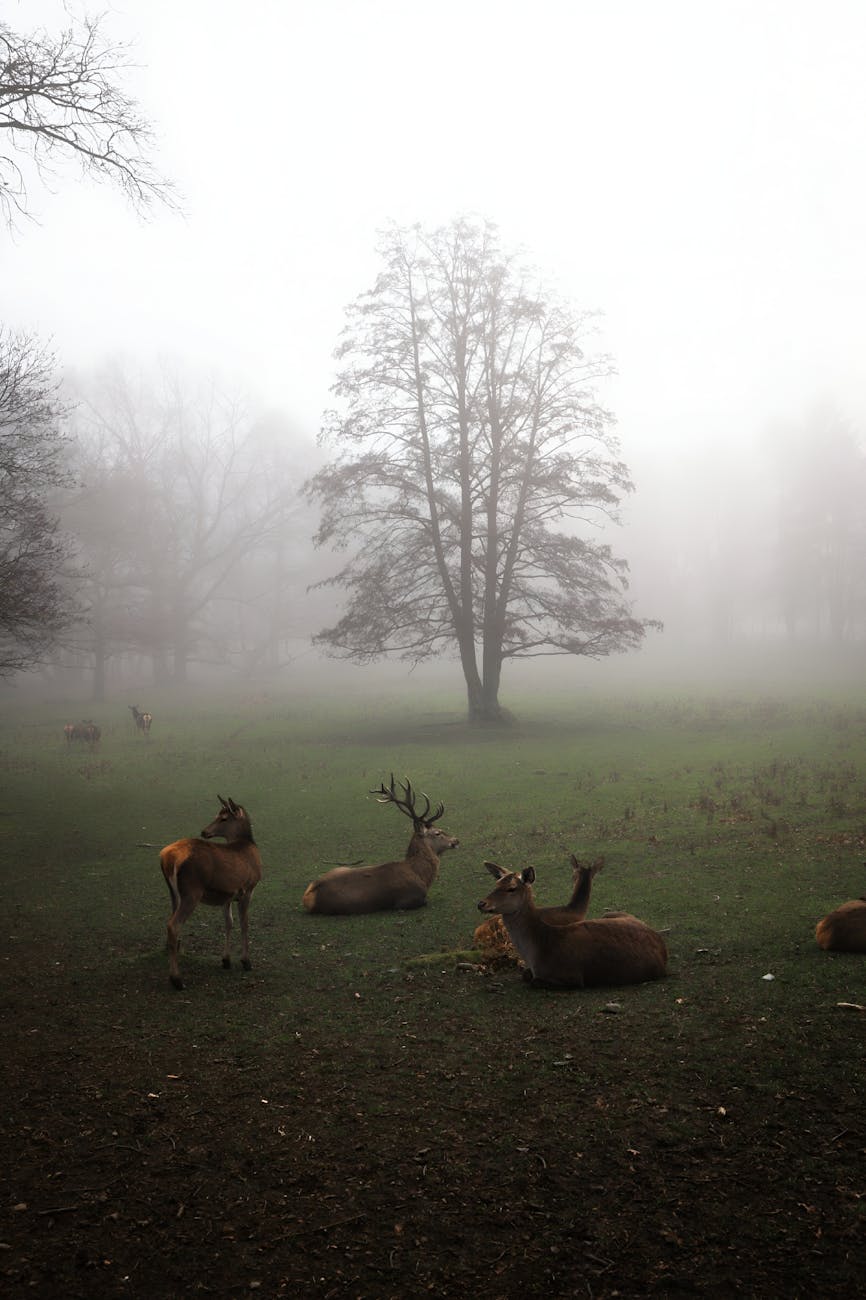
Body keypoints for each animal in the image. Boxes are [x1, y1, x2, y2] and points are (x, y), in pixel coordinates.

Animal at [160, 795, 263, 989]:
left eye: (223, 818)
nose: (204, 831)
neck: (248, 846)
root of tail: (168, 858)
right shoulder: (248, 888)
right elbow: (244, 923)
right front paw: (246, 961)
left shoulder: (227, 895)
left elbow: (229, 923)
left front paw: (226, 960)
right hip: (191, 891)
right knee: (173, 925)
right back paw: (177, 979)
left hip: (173, 893)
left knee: (170, 921)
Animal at [302, 775, 459, 915]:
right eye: (437, 833)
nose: (456, 840)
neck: (420, 875)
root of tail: (307, 896)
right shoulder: (407, 899)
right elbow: (424, 902)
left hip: (340, 868)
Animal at [477, 862, 667, 989]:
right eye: (496, 883)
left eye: (511, 888)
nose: (481, 903)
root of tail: (660, 941)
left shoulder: (572, 976)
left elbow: (534, 981)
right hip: (610, 914)